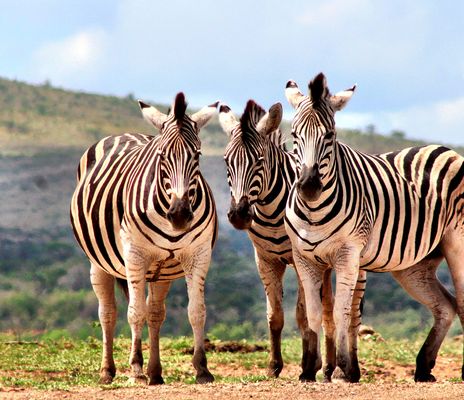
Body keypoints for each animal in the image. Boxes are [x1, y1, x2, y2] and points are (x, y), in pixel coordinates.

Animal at [70, 93, 219, 384]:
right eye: (162, 156)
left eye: (197, 155)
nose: (180, 214)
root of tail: (125, 133)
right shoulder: (135, 256)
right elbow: (134, 312)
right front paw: (136, 369)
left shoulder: (198, 255)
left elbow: (196, 311)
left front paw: (202, 369)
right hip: (99, 263)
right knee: (108, 313)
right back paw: (109, 371)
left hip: (162, 271)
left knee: (155, 313)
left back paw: (156, 373)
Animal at [218, 100, 366, 382]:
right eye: (226, 161)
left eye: (259, 161)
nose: (239, 215)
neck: (269, 211)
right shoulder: (266, 260)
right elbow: (275, 315)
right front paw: (274, 366)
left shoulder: (298, 260)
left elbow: (302, 314)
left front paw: (308, 365)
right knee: (329, 310)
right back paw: (330, 367)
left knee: (350, 312)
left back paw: (347, 368)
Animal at [284, 71, 462, 382]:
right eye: (294, 135)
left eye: (330, 136)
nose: (308, 187)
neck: (313, 213)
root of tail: (444, 149)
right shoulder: (304, 259)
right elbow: (314, 315)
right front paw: (308, 370)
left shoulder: (347, 256)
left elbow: (342, 312)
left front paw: (341, 369)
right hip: (414, 265)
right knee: (446, 306)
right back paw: (423, 367)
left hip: (458, 244)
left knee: (461, 302)